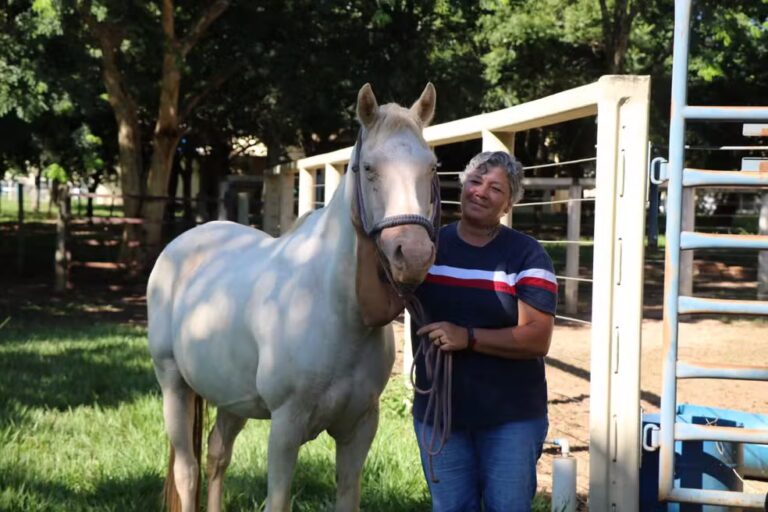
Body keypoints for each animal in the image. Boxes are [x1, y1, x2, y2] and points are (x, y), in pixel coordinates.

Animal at [147, 83, 439, 512]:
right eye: (369, 168)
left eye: (431, 166)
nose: (414, 254)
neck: (338, 312)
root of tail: (181, 244)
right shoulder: (285, 428)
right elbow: (278, 498)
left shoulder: (360, 428)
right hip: (173, 384)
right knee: (188, 470)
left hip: (231, 397)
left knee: (218, 454)